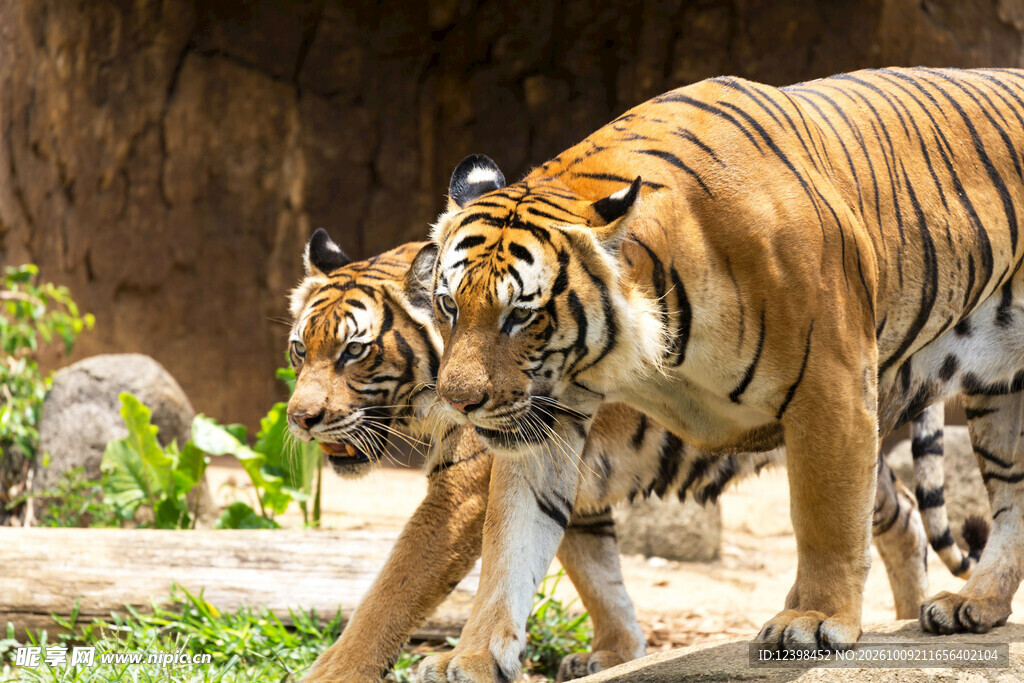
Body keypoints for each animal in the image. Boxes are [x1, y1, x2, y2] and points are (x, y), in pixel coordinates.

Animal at [285, 231, 984, 682]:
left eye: (354, 351)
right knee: (899, 514)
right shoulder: (564, 477)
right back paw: (901, 618)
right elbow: (598, 575)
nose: (298, 417)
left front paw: (331, 672)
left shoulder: (463, 490)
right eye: (300, 350)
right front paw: (617, 653)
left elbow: (392, 589)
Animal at [423, 66, 1024, 679]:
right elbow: (511, 540)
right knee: (1012, 497)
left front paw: (814, 618)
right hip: (999, 391)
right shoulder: (551, 417)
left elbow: (827, 517)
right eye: (449, 305)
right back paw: (976, 604)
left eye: (520, 315)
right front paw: (473, 656)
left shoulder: (832, 385)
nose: (458, 400)